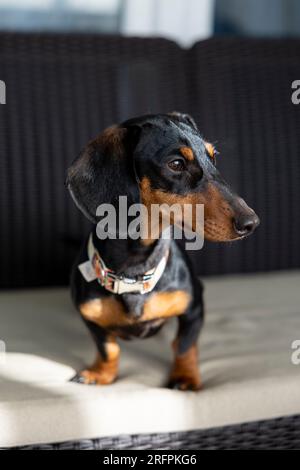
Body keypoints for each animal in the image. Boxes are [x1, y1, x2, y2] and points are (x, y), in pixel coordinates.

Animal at [67, 112, 258, 392]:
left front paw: (185, 378)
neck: (135, 270)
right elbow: (108, 348)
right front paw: (101, 373)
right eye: (176, 163)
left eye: (213, 157)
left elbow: (184, 345)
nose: (251, 223)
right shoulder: (90, 317)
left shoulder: (194, 307)